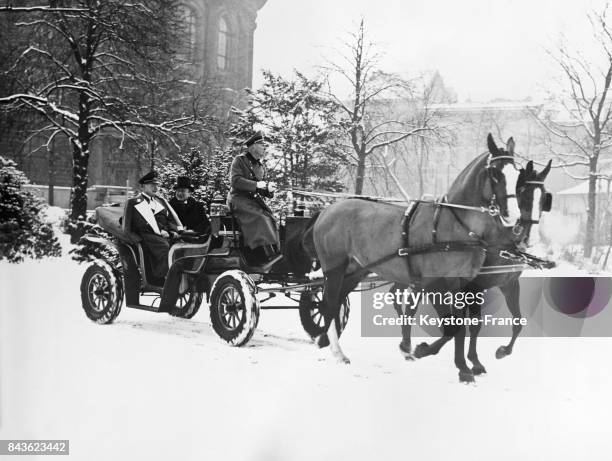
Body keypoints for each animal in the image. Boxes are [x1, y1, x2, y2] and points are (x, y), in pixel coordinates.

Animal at [296, 133, 520, 380]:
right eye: (495, 173)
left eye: (517, 172)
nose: (514, 217)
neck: (455, 227)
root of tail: (327, 211)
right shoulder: (435, 284)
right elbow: (453, 325)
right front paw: (427, 352)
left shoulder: (463, 285)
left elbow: (460, 324)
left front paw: (463, 367)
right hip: (334, 268)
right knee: (328, 304)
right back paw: (333, 348)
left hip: (355, 270)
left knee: (336, 304)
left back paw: (330, 344)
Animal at [392, 158, 556, 378]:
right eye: (521, 192)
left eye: (544, 198)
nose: (528, 238)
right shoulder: (471, 286)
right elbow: (465, 324)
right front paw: (430, 351)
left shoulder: (509, 284)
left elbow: (517, 321)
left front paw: (498, 353)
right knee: (410, 304)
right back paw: (407, 344)